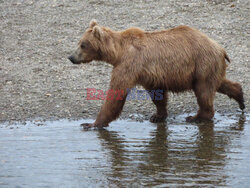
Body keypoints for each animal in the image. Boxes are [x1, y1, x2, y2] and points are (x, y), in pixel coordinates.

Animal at [68, 19, 244, 129]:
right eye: (79, 42)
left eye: (83, 44)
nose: (71, 57)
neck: (118, 52)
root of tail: (220, 48)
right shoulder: (149, 74)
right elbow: (157, 94)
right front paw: (157, 116)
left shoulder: (129, 64)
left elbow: (116, 92)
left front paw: (92, 124)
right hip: (207, 67)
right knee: (218, 83)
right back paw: (241, 98)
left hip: (202, 63)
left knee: (203, 91)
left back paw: (197, 117)